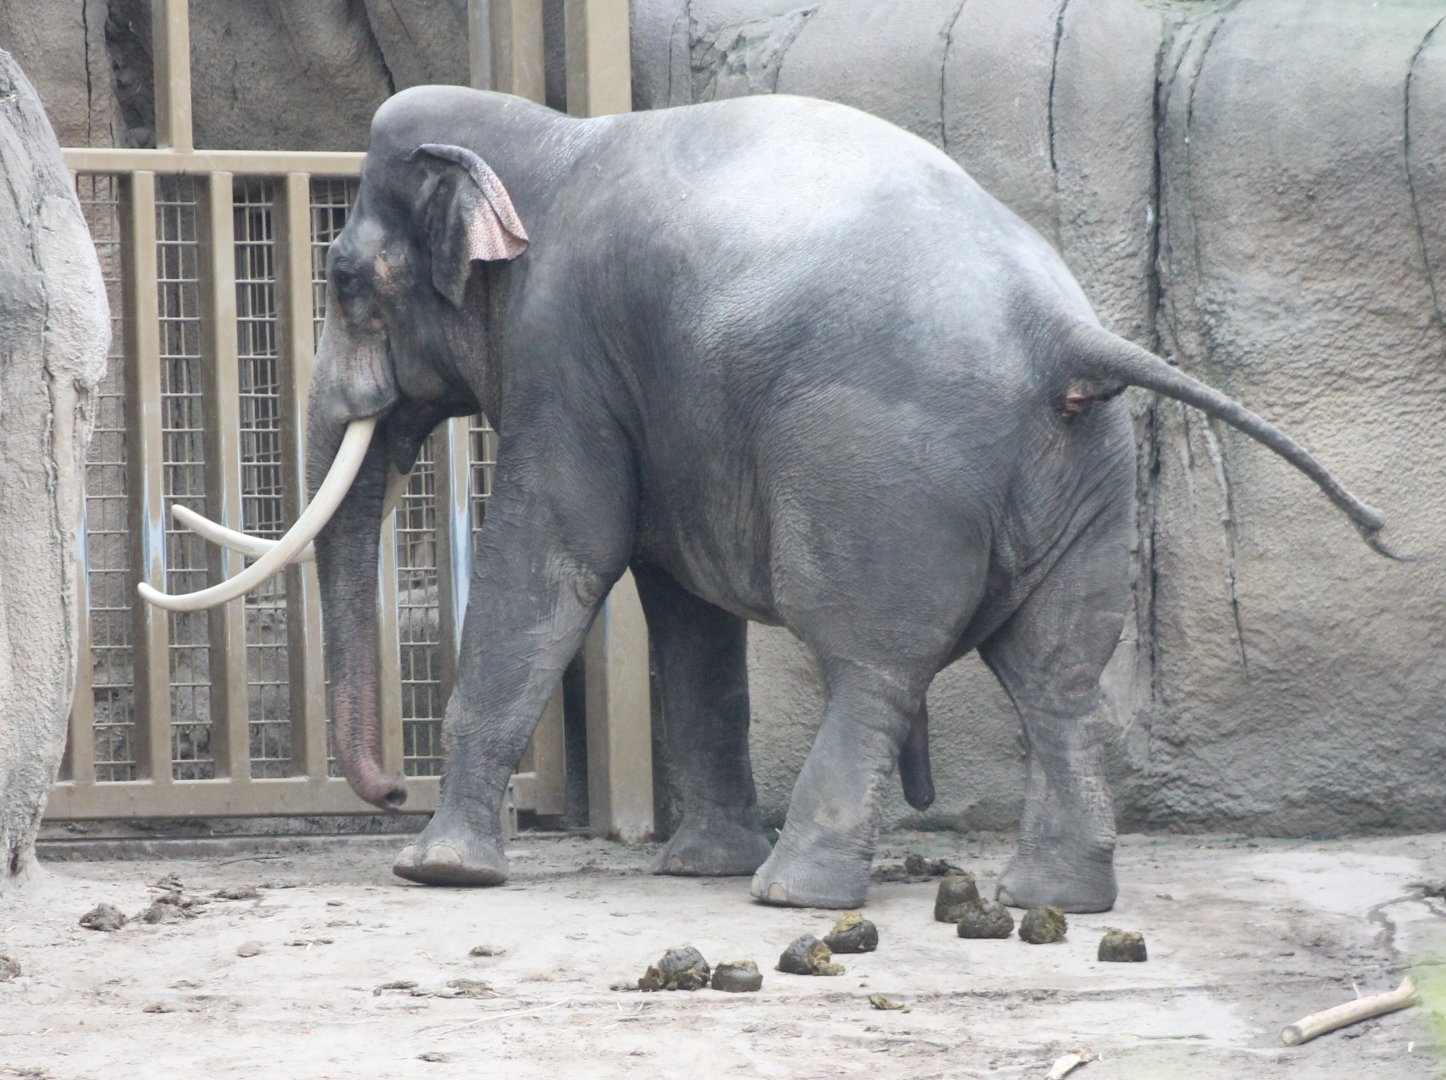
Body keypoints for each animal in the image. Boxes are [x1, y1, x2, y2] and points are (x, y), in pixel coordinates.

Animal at [141, 86, 1391, 912]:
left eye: (348, 284)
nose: (388, 791)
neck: (546, 135)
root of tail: (1064, 332)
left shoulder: (567, 352)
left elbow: (558, 554)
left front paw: (438, 871)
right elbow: (680, 604)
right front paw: (694, 864)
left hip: (884, 469)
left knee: (875, 663)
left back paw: (796, 895)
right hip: (1087, 475)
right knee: (1057, 676)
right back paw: (1052, 898)